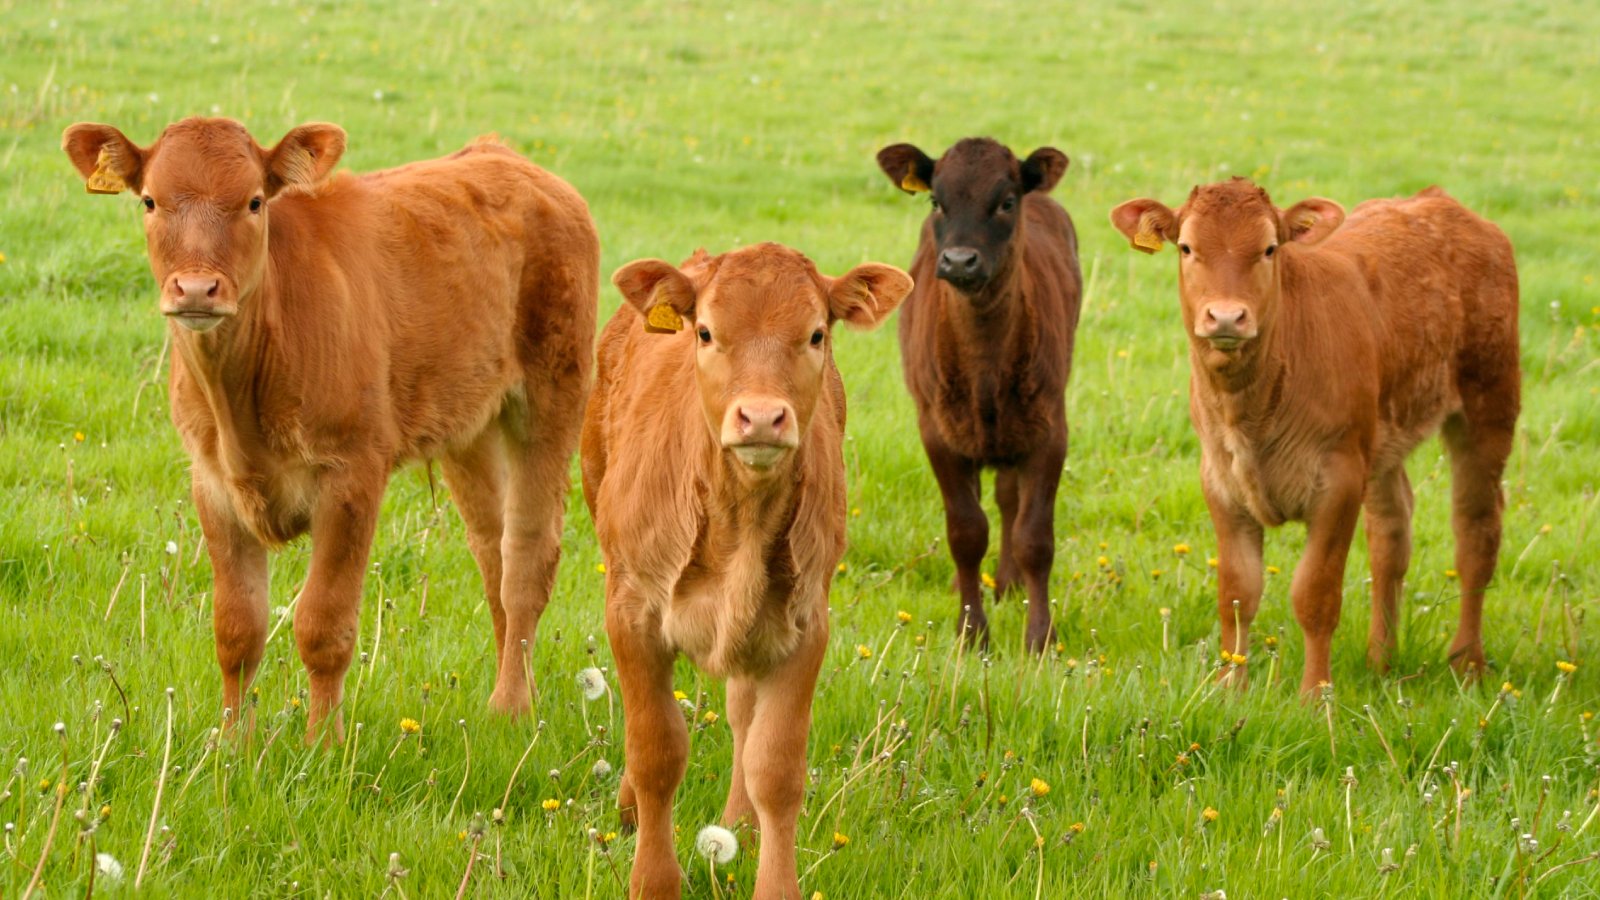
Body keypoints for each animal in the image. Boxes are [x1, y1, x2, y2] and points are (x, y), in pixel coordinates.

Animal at [62, 117, 598, 741]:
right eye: (149, 200)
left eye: (254, 201)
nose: (196, 289)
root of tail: (506, 157)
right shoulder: (212, 483)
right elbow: (236, 628)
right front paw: (232, 746)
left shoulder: (352, 476)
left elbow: (323, 625)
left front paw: (323, 743)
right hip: (471, 426)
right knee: (494, 555)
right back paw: (510, 691)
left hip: (552, 394)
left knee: (528, 558)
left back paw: (511, 707)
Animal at [582, 243, 911, 899]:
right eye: (706, 332)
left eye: (816, 334)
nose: (761, 418)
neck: (741, 517)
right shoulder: (632, 610)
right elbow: (655, 750)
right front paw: (653, 879)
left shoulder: (805, 625)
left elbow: (775, 768)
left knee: (740, 711)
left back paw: (738, 821)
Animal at [875, 138, 1082, 652]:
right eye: (935, 201)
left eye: (1006, 202)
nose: (959, 261)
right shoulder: (936, 431)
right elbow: (966, 532)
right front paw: (971, 632)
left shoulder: (1050, 429)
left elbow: (1034, 538)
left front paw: (1040, 638)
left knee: (1008, 501)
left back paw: (1007, 582)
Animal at [1110, 178, 1519, 693]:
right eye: (1186, 247)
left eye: (1269, 248)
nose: (1225, 317)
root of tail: (1437, 199)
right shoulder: (1220, 481)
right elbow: (1237, 594)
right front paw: (1230, 688)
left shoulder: (1338, 481)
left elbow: (1315, 595)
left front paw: (1315, 695)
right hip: (1380, 439)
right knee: (1391, 533)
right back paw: (1380, 660)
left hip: (1489, 403)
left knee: (1476, 532)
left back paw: (1468, 662)